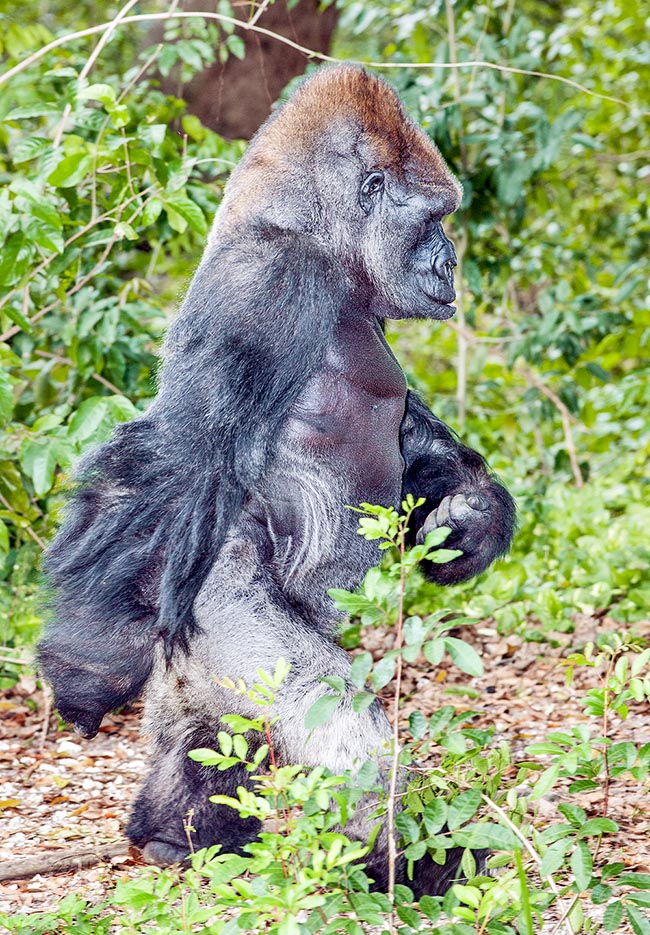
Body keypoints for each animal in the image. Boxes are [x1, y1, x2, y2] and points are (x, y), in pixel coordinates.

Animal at [38, 62, 512, 896]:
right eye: (432, 220)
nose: (449, 261)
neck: (308, 232)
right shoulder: (268, 282)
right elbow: (174, 457)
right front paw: (83, 670)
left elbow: (413, 436)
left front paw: (471, 515)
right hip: (214, 600)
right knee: (332, 718)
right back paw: (411, 861)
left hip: (192, 644)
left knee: (208, 724)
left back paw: (174, 833)